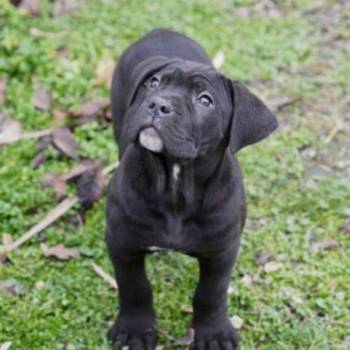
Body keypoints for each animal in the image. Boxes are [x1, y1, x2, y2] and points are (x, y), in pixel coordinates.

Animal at [105, 28, 278, 348]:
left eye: (205, 100)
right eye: (154, 83)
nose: (158, 104)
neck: (175, 180)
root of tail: (162, 30)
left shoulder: (222, 251)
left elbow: (211, 294)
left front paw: (214, 332)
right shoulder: (122, 242)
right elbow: (134, 286)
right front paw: (135, 328)